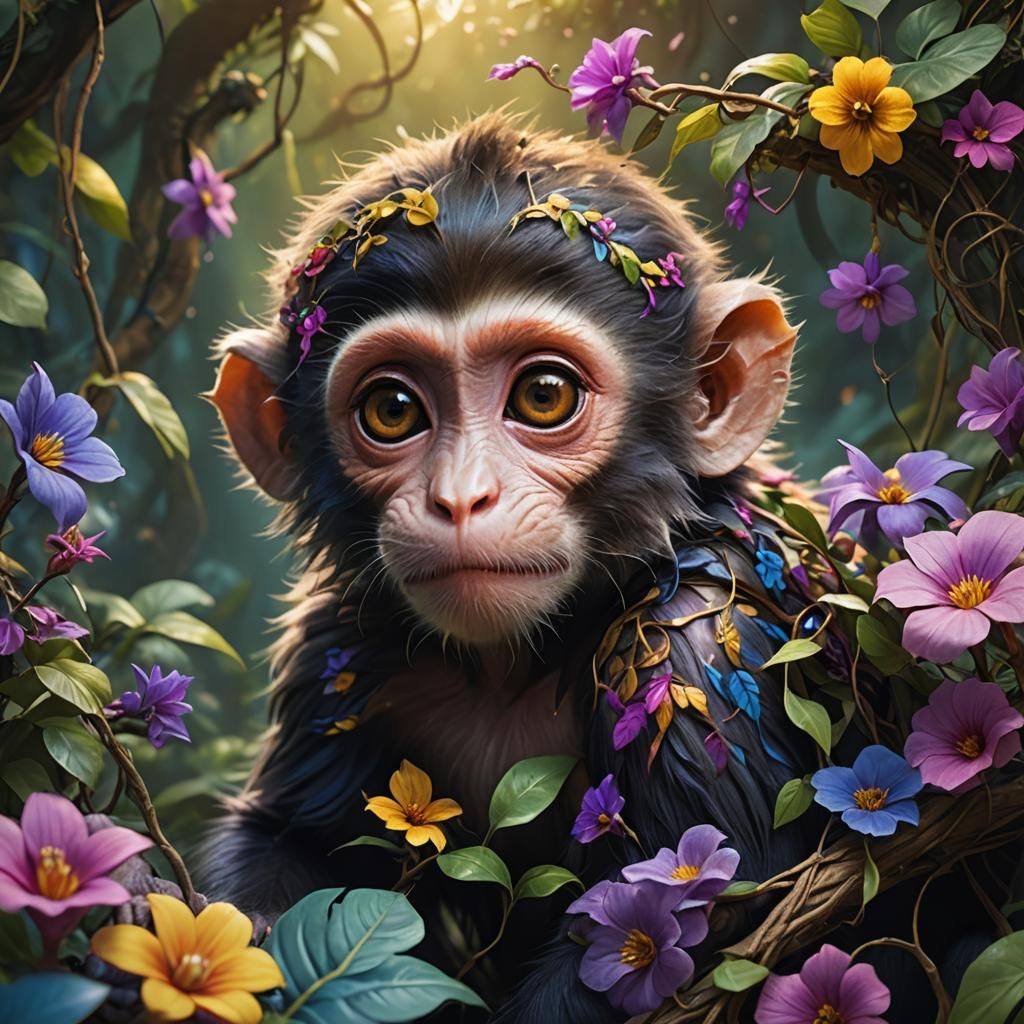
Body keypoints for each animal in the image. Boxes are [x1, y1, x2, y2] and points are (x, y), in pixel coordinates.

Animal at [199, 113, 977, 1022]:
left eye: (543, 396)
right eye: (391, 410)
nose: (461, 498)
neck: (521, 661)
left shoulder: (697, 651)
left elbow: (669, 927)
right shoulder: (336, 650)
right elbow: (284, 839)